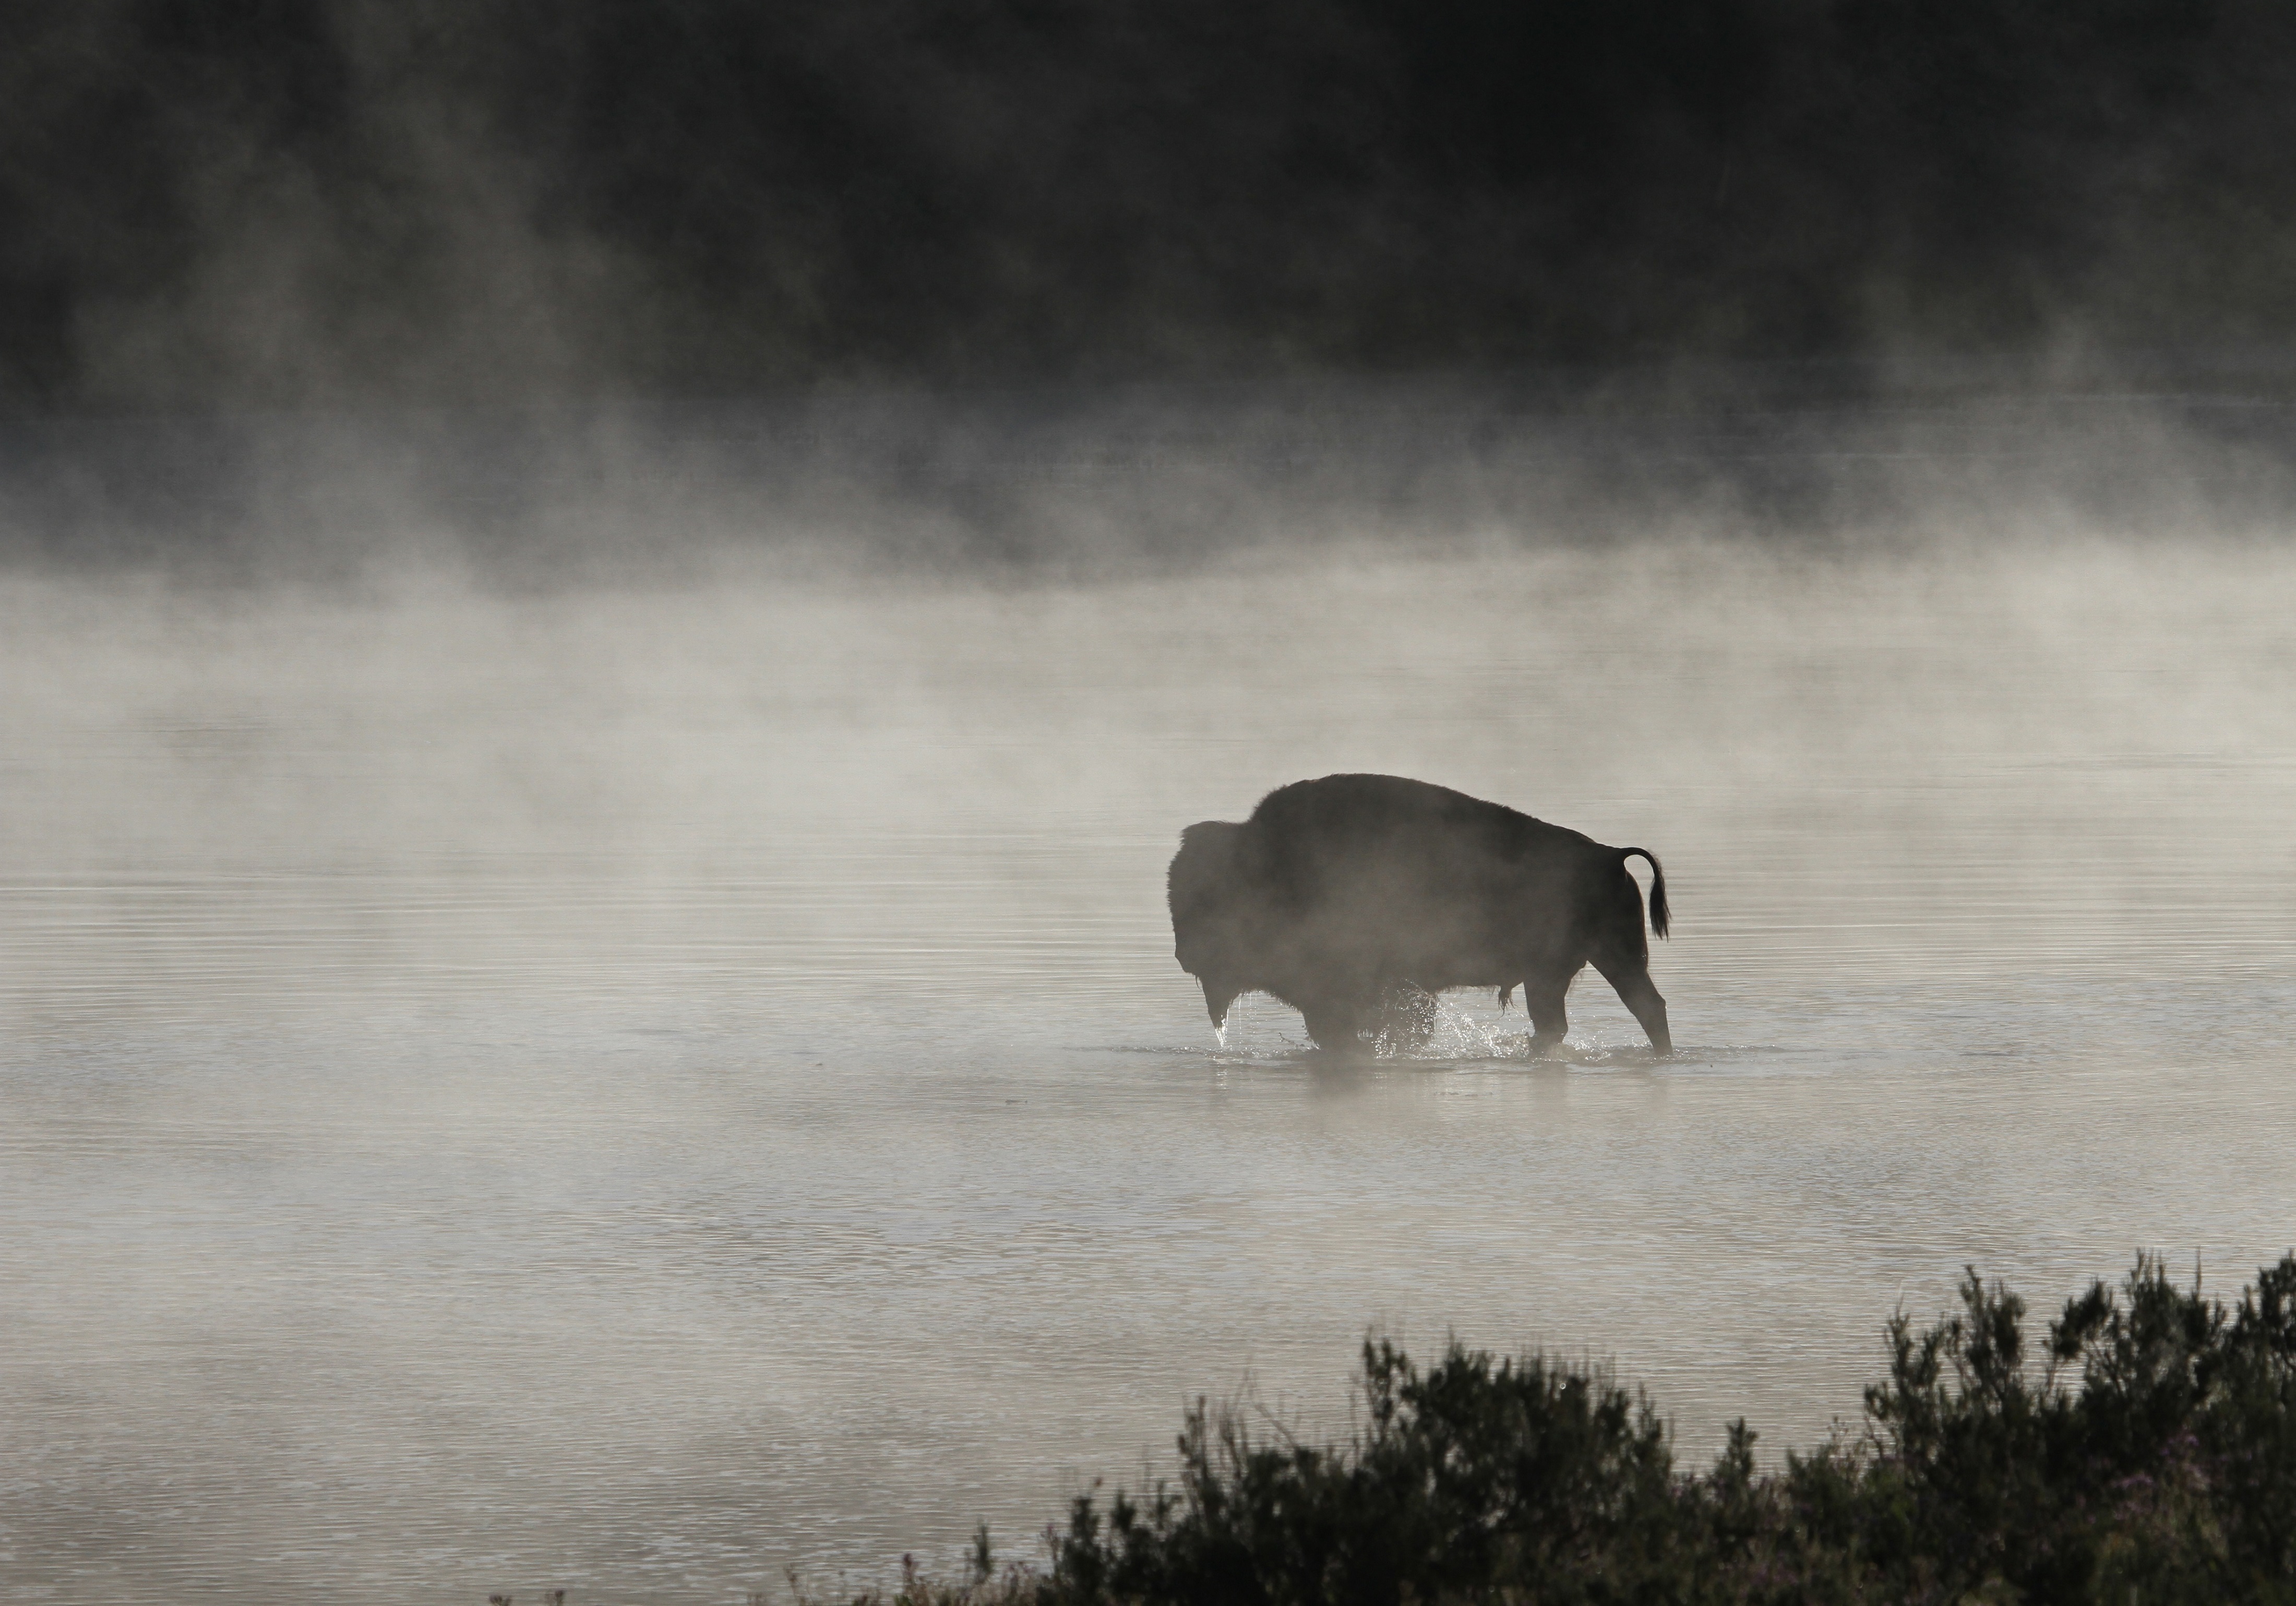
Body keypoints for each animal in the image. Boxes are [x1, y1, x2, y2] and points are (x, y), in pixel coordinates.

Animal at [1166, 775, 1671, 1055]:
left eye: (1206, 900)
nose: (1183, 955)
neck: (1271, 864)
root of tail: (1609, 857)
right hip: (1589, 967)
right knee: (1634, 1011)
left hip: (1578, 968)